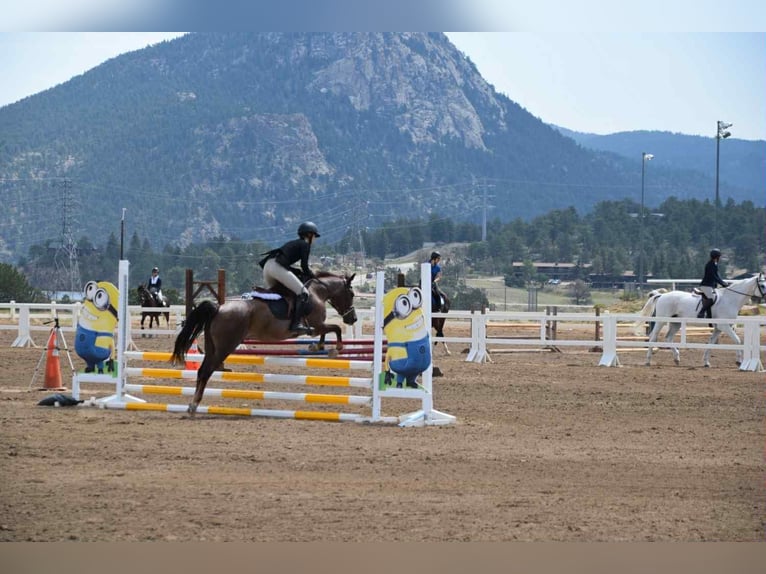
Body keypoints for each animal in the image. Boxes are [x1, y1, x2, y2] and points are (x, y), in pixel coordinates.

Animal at [171, 271, 357, 415]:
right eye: (352, 294)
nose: (352, 319)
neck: (317, 292)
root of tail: (218, 308)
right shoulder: (317, 325)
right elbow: (335, 329)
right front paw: (336, 348)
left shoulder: (317, 327)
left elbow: (327, 332)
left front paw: (317, 346)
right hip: (225, 346)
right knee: (207, 371)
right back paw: (194, 405)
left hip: (212, 347)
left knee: (202, 370)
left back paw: (193, 404)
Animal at [635, 272, 765, 367]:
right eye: (763, 285)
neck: (730, 299)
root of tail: (662, 295)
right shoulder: (724, 326)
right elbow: (737, 340)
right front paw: (739, 361)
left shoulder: (718, 328)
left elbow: (711, 343)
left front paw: (706, 362)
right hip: (661, 321)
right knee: (653, 337)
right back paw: (648, 360)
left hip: (676, 323)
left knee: (668, 338)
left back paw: (676, 358)